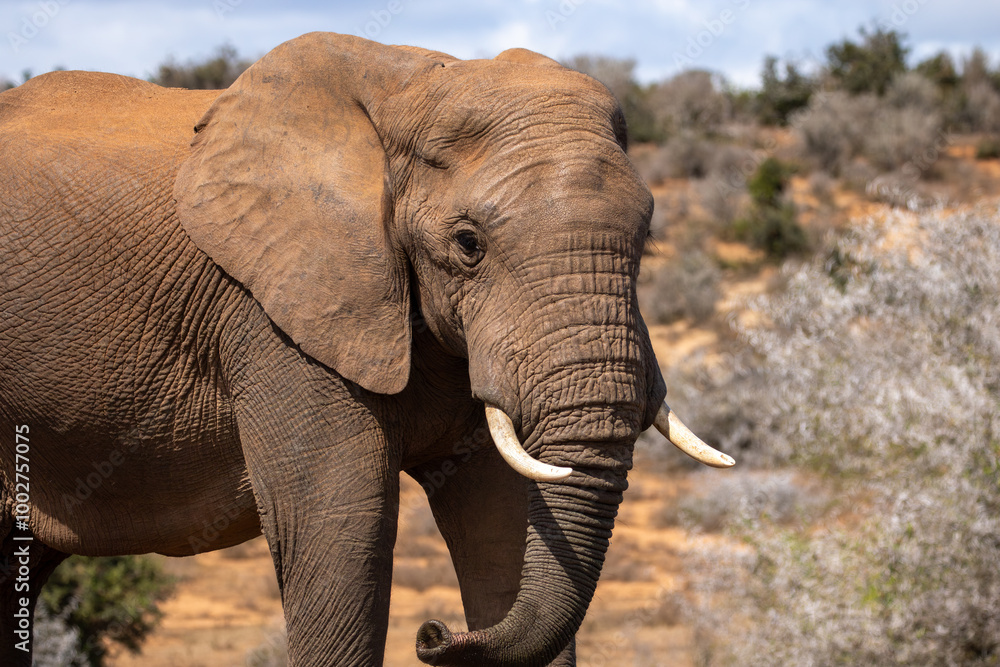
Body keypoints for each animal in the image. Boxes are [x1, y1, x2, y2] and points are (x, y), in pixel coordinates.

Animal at [0, 32, 733, 666]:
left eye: (646, 237)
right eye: (468, 243)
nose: (434, 633)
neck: (413, 87)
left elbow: (499, 529)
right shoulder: (277, 315)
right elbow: (342, 534)